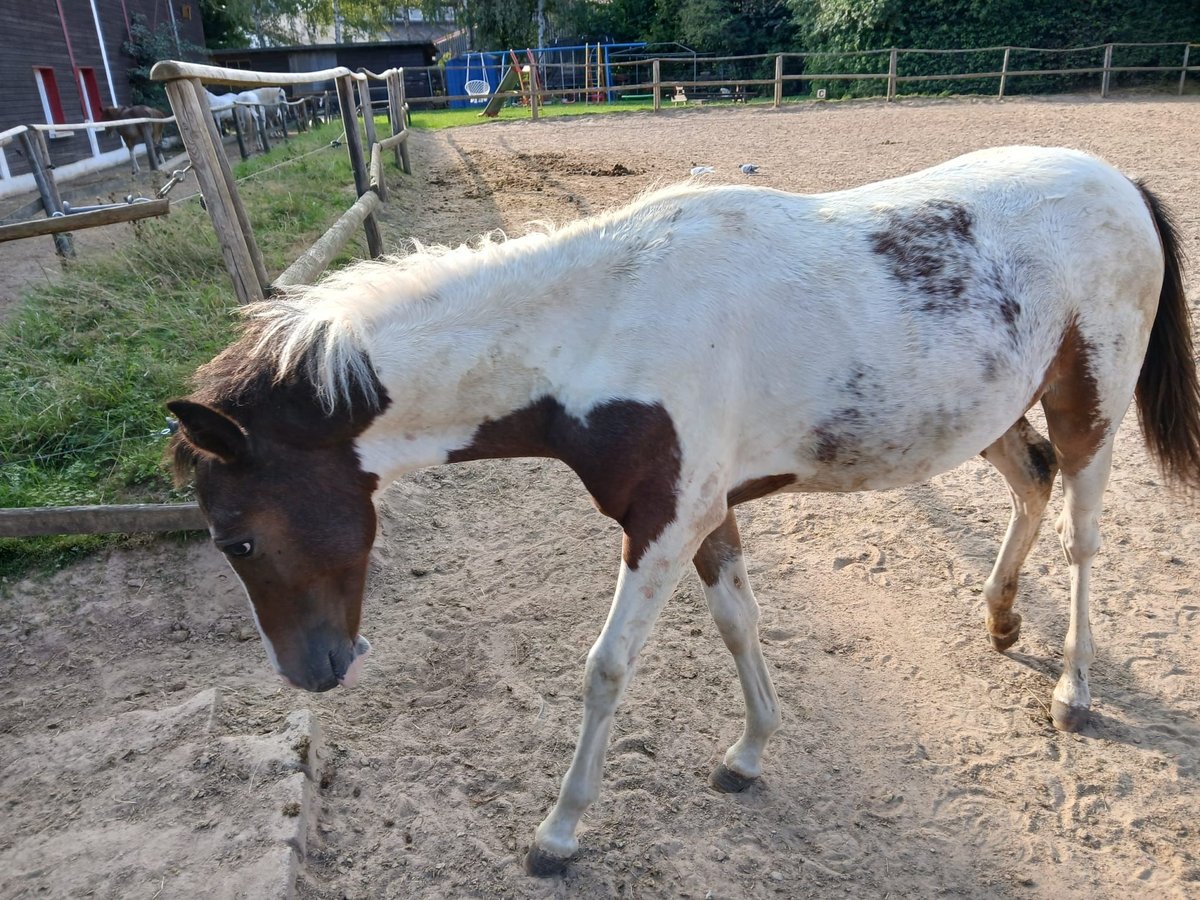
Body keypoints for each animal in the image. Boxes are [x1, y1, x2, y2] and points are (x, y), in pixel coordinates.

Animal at [169, 146, 1200, 873]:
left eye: (238, 539)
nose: (314, 672)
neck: (604, 325)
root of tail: (1121, 181)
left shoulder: (662, 523)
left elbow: (606, 668)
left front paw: (559, 832)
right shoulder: (706, 514)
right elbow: (739, 622)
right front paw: (750, 752)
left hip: (1090, 407)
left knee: (1084, 535)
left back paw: (1074, 691)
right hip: (996, 413)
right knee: (1029, 481)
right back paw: (999, 619)